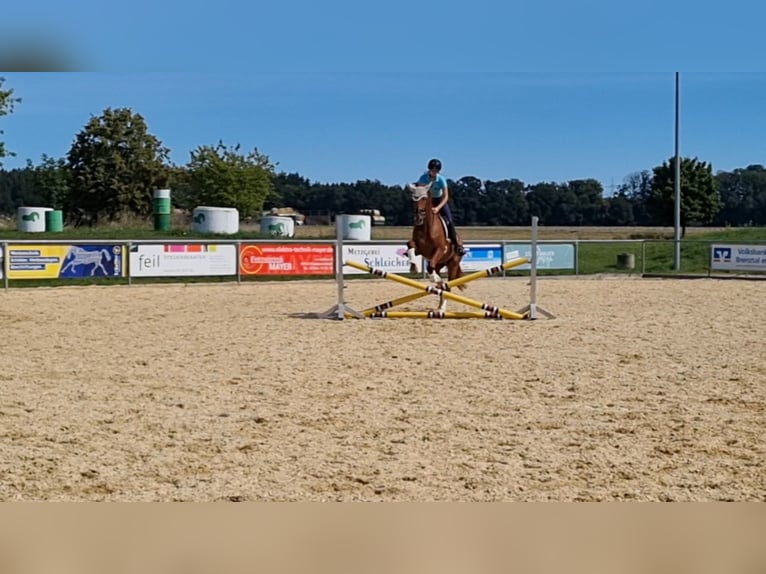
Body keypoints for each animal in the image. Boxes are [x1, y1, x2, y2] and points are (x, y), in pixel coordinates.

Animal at [405, 183, 466, 312]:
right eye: (413, 199)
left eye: (424, 198)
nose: (418, 218)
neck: (426, 227)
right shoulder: (421, 250)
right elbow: (410, 245)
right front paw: (413, 267)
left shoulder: (440, 250)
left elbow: (430, 267)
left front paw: (436, 279)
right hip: (440, 264)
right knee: (440, 283)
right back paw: (439, 305)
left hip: (453, 264)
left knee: (447, 287)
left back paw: (442, 308)